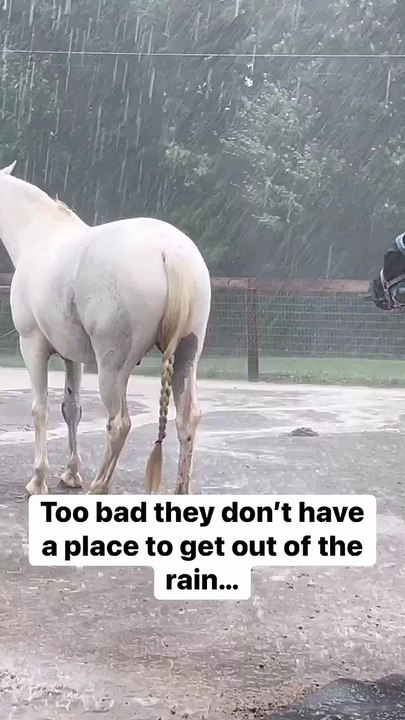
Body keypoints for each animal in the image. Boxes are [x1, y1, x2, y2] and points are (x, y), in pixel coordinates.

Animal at [0, 161, 211, 496]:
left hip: (113, 367)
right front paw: (71, 474)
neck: (38, 234)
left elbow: (40, 409)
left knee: (119, 423)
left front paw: (38, 480)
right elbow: (71, 408)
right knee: (188, 418)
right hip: (186, 355)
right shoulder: (71, 356)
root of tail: (169, 251)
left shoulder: (32, 346)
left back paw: (99, 487)